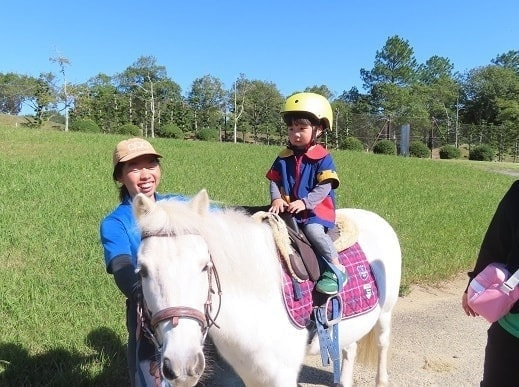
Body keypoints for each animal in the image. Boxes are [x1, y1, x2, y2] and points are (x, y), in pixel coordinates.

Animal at [134, 191, 402, 387]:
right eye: (143, 270)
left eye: (204, 266)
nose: (182, 366)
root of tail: (375, 217)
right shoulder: (251, 373)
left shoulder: (282, 375)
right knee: (349, 347)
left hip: (385, 313)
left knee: (382, 343)